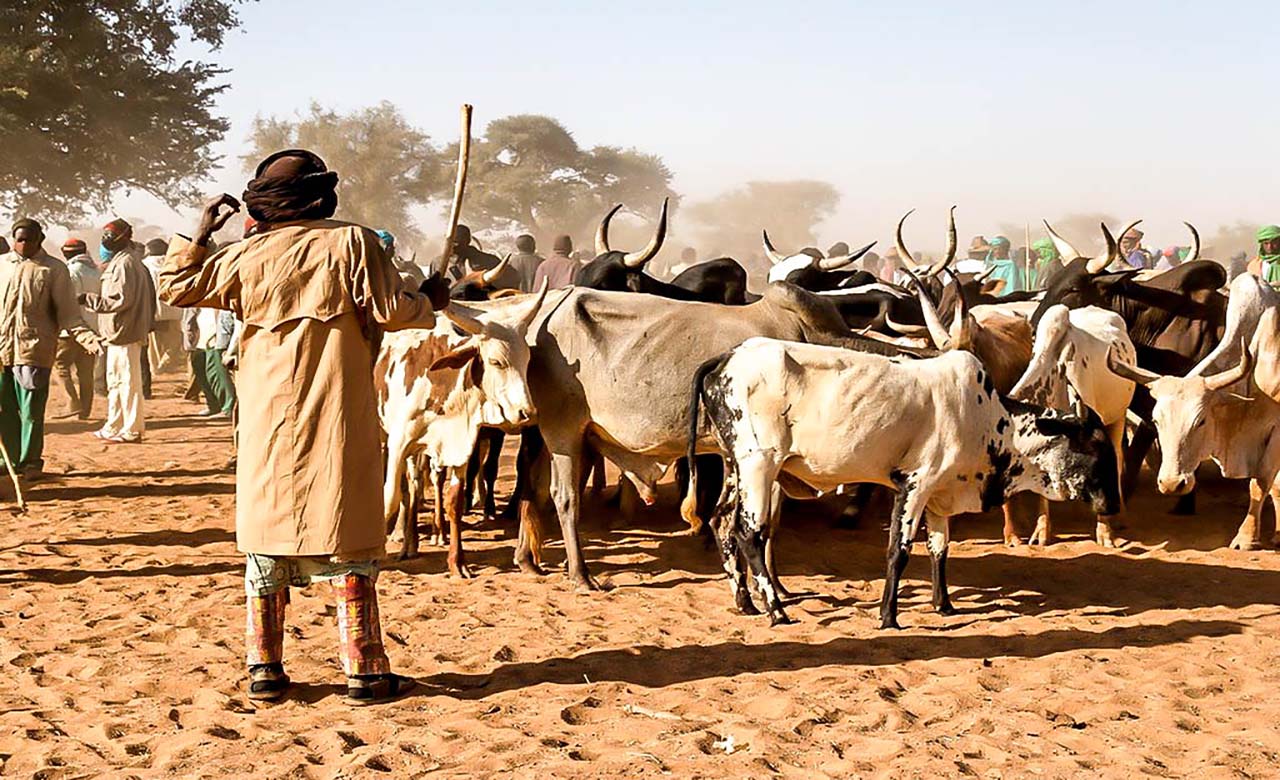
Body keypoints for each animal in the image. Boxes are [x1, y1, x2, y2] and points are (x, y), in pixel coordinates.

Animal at [373, 285, 545, 571]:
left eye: (528, 360)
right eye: (497, 362)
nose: (527, 413)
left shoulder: (459, 446)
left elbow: (454, 500)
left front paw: (457, 561)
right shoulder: (398, 443)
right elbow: (388, 500)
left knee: (415, 484)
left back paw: (411, 542)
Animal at [686, 338, 1116, 627]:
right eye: (1095, 446)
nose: (1112, 504)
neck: (992, 421)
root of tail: (728, 357)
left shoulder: (941, 494)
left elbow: (940, 549)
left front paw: (944, 605)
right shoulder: (915, 484)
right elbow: (900, 550)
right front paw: (888, 617)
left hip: (736, 468)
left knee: (721, 523)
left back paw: (746, 602)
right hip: (760, 465)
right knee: (749, 534)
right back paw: (776, 610)